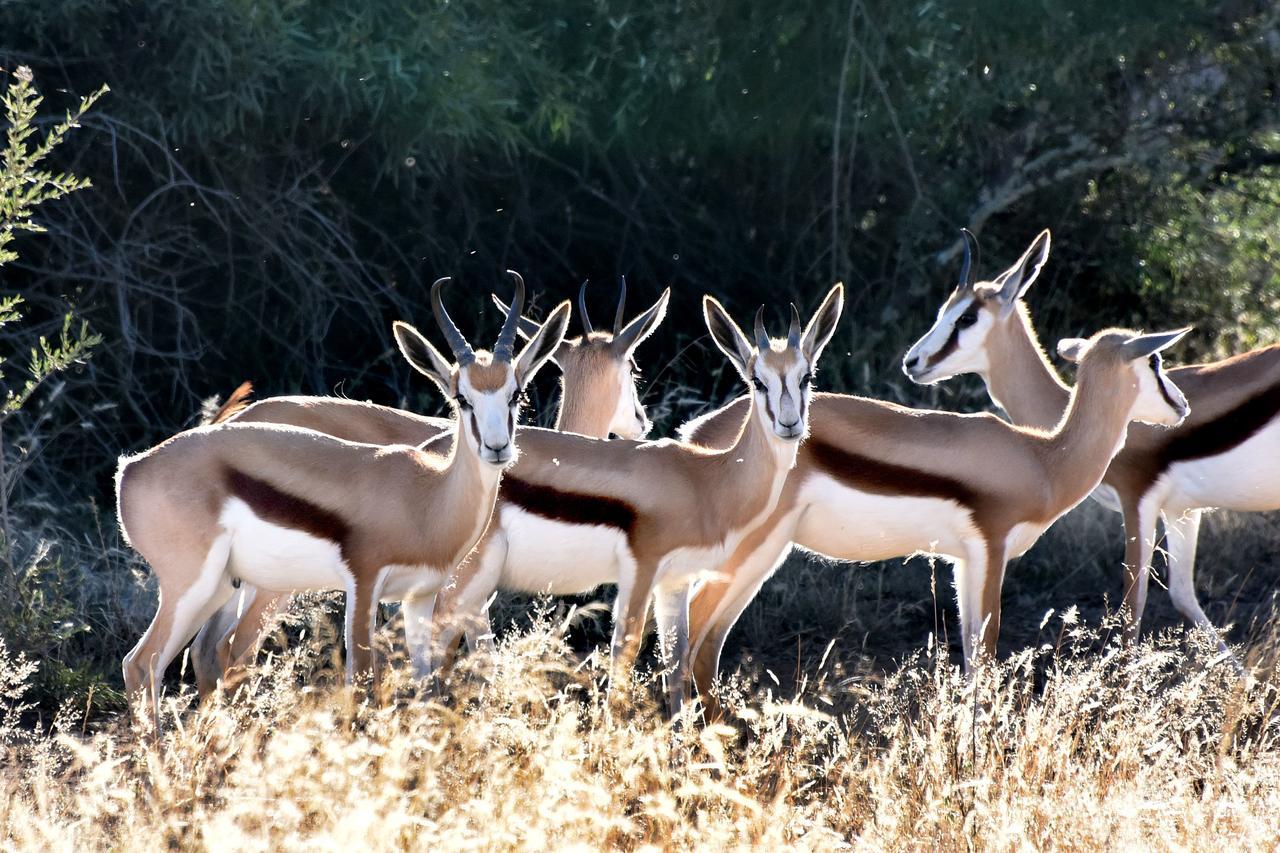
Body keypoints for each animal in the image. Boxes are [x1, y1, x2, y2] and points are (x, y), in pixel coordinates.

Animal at [116, 270, 570, 717]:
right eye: (462, 398)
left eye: (515, 394)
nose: (497, 448)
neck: (427, 497)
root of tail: (133, 468)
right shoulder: (364, 585)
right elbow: (362, 683)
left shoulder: (420, 596)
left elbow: (426, 686)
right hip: (194, 586)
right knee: (142, 664)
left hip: (223, 587)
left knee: (191, 655)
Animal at [188, 281, 670, 696]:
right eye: (634, 366)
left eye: (516, 392)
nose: (642, 420)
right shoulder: (450, 595)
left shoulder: (468, 604)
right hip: (273, 587)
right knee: (236, 649)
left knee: (206, 648)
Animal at [906, 229, 1280, 653]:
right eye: (943, 310)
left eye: (967, 317)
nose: (912, 362)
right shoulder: (1183, 511)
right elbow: (1184, 598)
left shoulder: (1138, 504)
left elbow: (1133, 612)